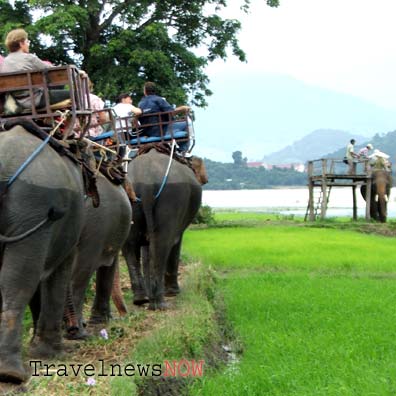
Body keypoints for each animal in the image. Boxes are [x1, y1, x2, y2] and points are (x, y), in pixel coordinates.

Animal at [0, 124, 86, 384]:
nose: (77, 331)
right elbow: (58, 271)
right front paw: (50, 353)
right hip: (33, 203)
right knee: (19, 281)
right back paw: (12, 374)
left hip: (28, 208)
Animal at [122, 148, 209, 310]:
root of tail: (147, 181)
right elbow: (176, 241)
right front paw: (173, 293)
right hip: (172, 198)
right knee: (162, 243)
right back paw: (160, 303)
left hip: (130, 198)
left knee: (131, 245)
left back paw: (141, 299)